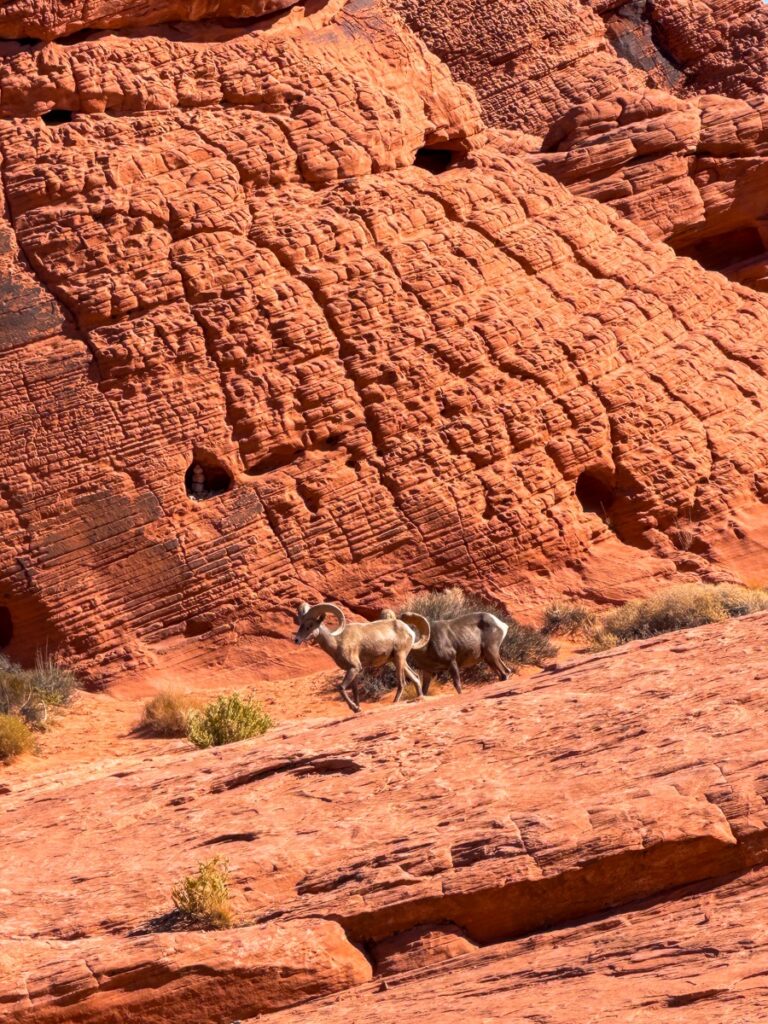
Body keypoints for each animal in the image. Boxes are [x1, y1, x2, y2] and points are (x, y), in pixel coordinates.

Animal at [293, 602, 430, 713]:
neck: (337, 641)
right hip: (397, 660)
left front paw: (354, 708)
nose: (296, 640)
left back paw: (395, 702)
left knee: (402, 682)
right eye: (300, 623)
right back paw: (419, 697)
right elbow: (355, 692)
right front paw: (358, 708)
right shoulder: (352, 671)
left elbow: (341, 688)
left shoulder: (355, 668)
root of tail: (409, 631)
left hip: (399, 658)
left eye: (310, 625)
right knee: (415, 677)